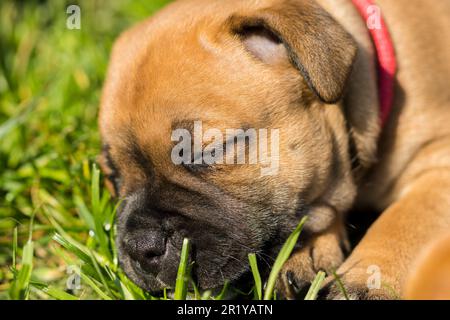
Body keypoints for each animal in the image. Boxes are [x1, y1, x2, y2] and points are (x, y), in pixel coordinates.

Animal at [98, 0, 450, 298]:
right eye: (112, 177)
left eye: (211, 151)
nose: (141, 247)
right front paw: (307, 254)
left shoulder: (439, 160)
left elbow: (406, 217)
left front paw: (366, 280)